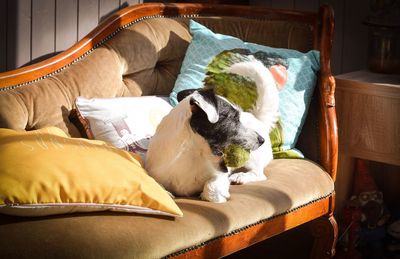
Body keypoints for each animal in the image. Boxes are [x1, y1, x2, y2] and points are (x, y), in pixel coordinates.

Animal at [145, 59, 286, 203]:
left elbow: (211, 188)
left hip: (253, 158)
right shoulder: (154, 173)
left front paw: (219, 195)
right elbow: (158, 186)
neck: (190, 155)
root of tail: (258, 119)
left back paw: (240, 176)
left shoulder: (220, 175)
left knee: (259, 174)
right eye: (234, 117)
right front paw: (166, 193)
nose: (261, 139)